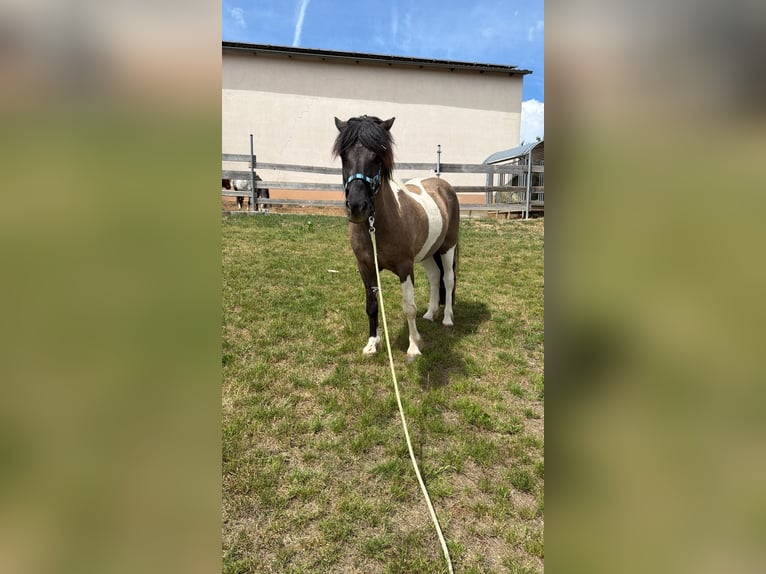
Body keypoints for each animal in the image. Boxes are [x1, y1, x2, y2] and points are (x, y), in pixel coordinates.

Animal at [333, 115, 460, 359]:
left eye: (377, 156)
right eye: (343, 155)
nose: (357, 206)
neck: (378, 227)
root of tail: (443, 185)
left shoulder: (405, 267)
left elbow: (408, 307)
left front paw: (413, 347)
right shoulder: (366, 267)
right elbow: (372, 305)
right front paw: (372, 343)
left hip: (447, 248)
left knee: (448, 279)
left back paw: (448, 319)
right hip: (428, 253)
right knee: (434, 276)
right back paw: (430, 314)